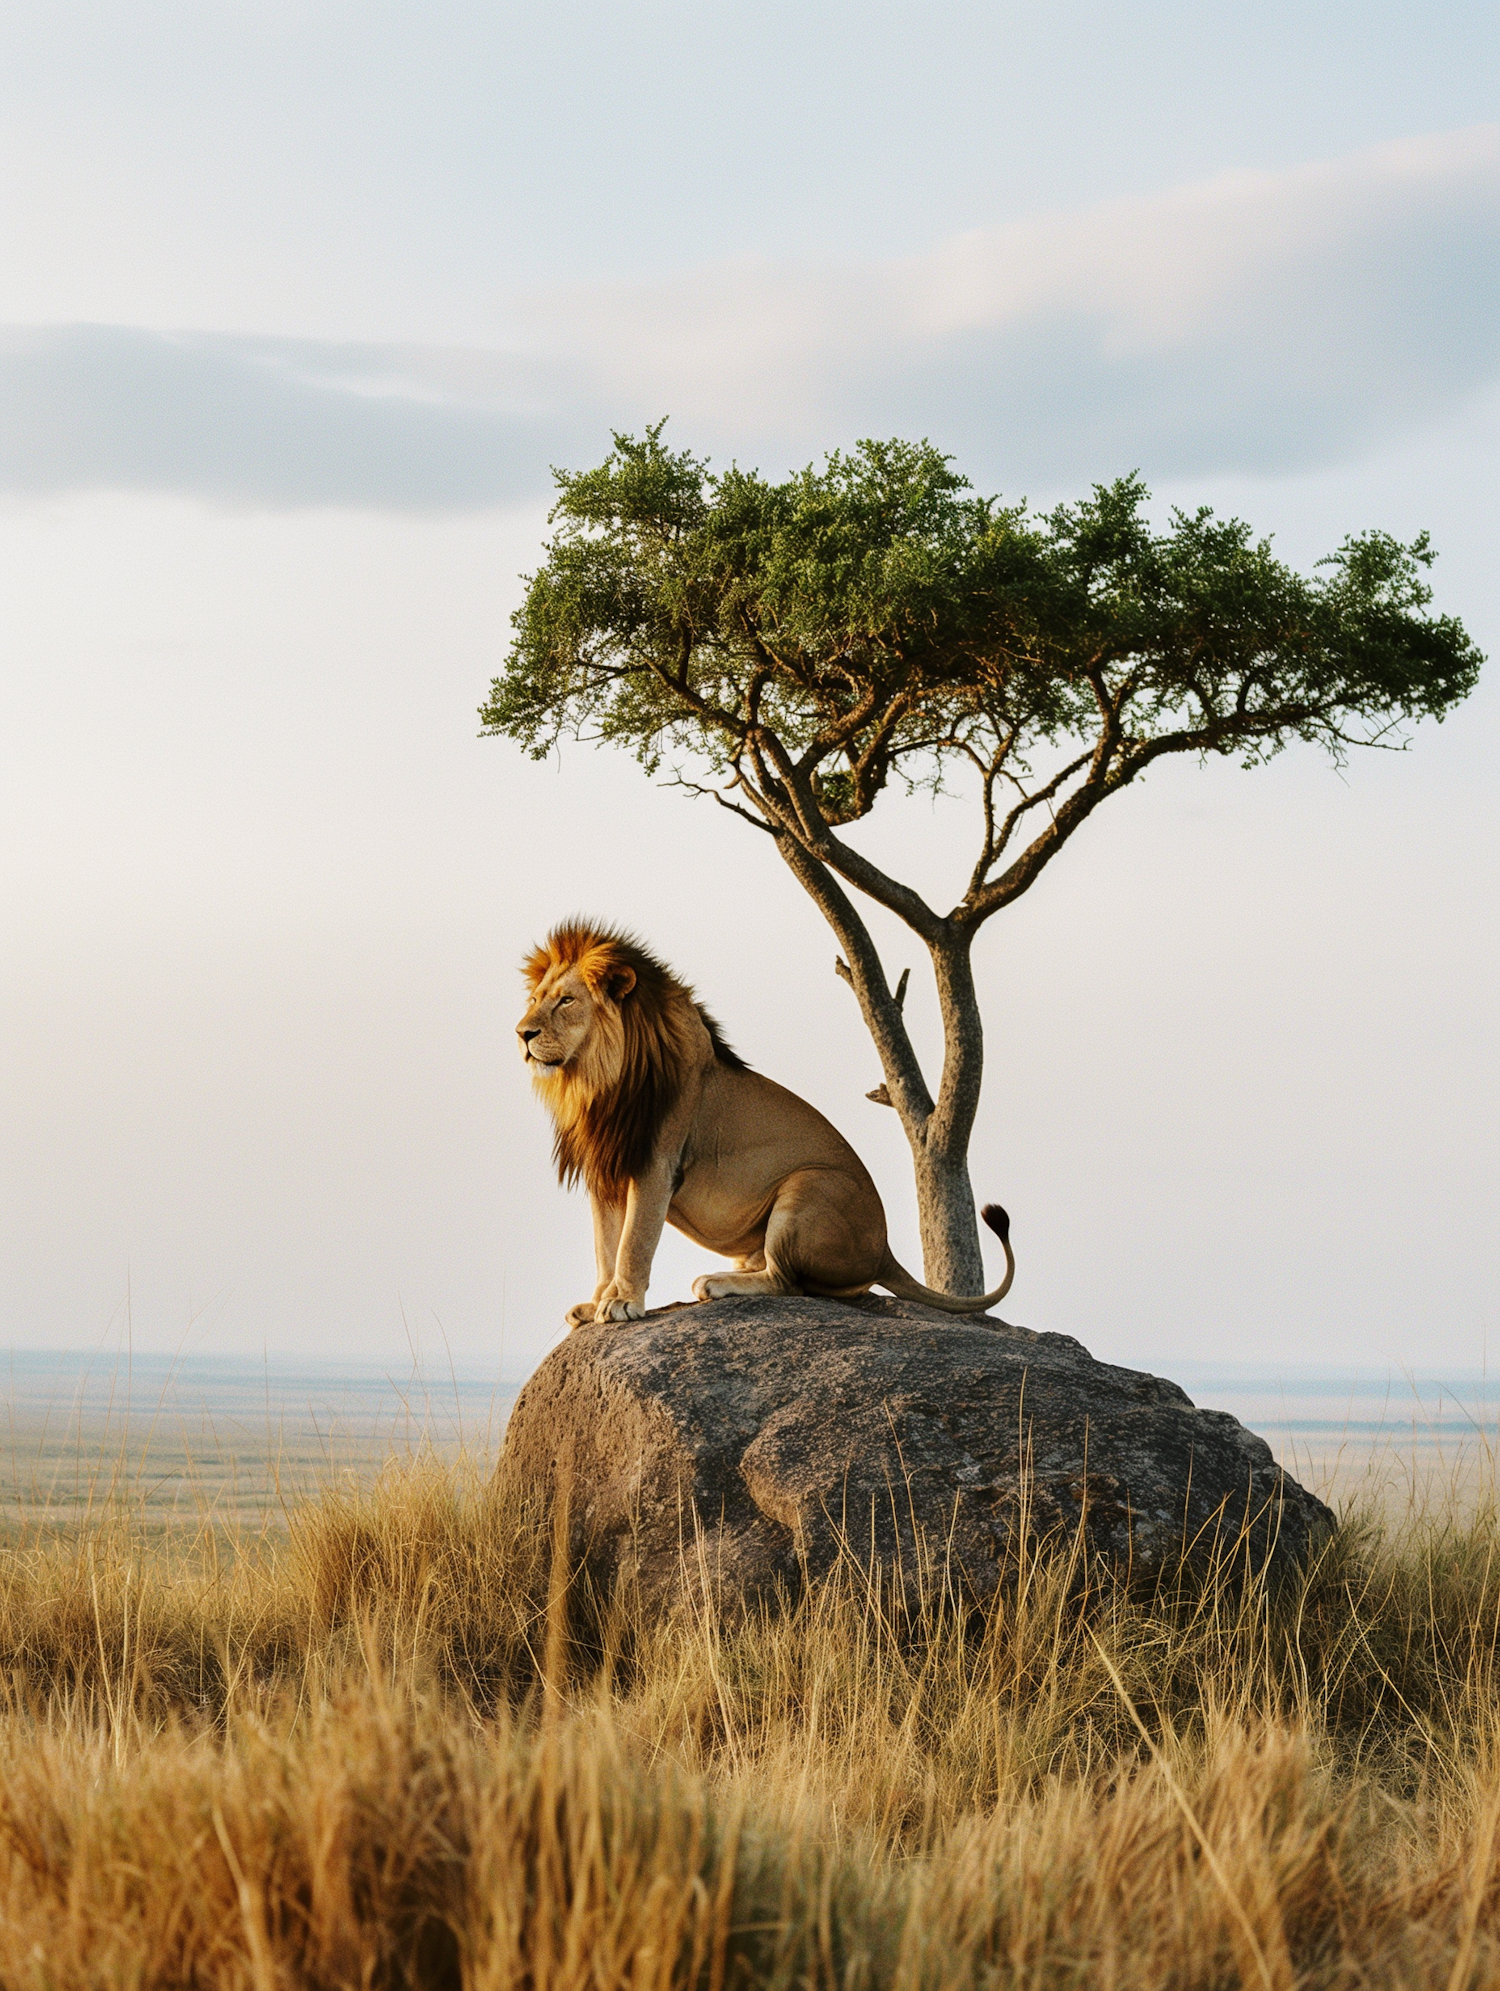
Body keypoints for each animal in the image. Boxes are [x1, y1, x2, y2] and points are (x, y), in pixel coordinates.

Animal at [513, 919, 1019, 1329]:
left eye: (566, 1001)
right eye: (536, 1000)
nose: (522, 1034)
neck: (595, 1081)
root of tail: (884, 1252)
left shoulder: (655, 1162)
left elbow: (633, 1242)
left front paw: (622, 1303)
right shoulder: (607, 1169)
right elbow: (605, 1245)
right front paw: (597, 1300)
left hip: (808, 1186)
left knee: (789, 1282)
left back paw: (717, 1282)